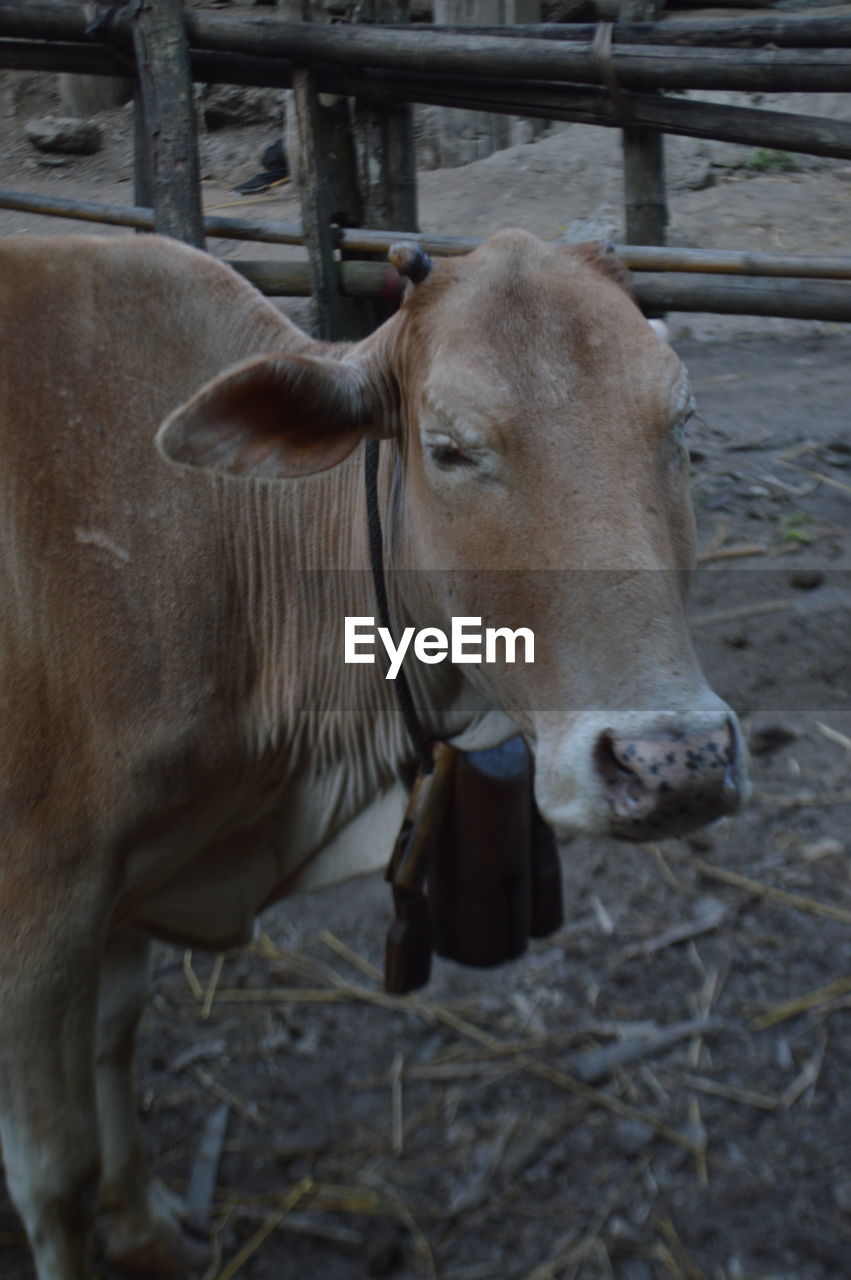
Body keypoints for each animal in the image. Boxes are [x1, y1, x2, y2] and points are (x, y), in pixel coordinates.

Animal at [0, 232, 742, 1280]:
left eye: (679, 422)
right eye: (449, 448)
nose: (674, 762)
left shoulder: (129, 880)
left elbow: (116, 1039)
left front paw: (143, 1223)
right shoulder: (38, 903)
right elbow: (53, 1172)